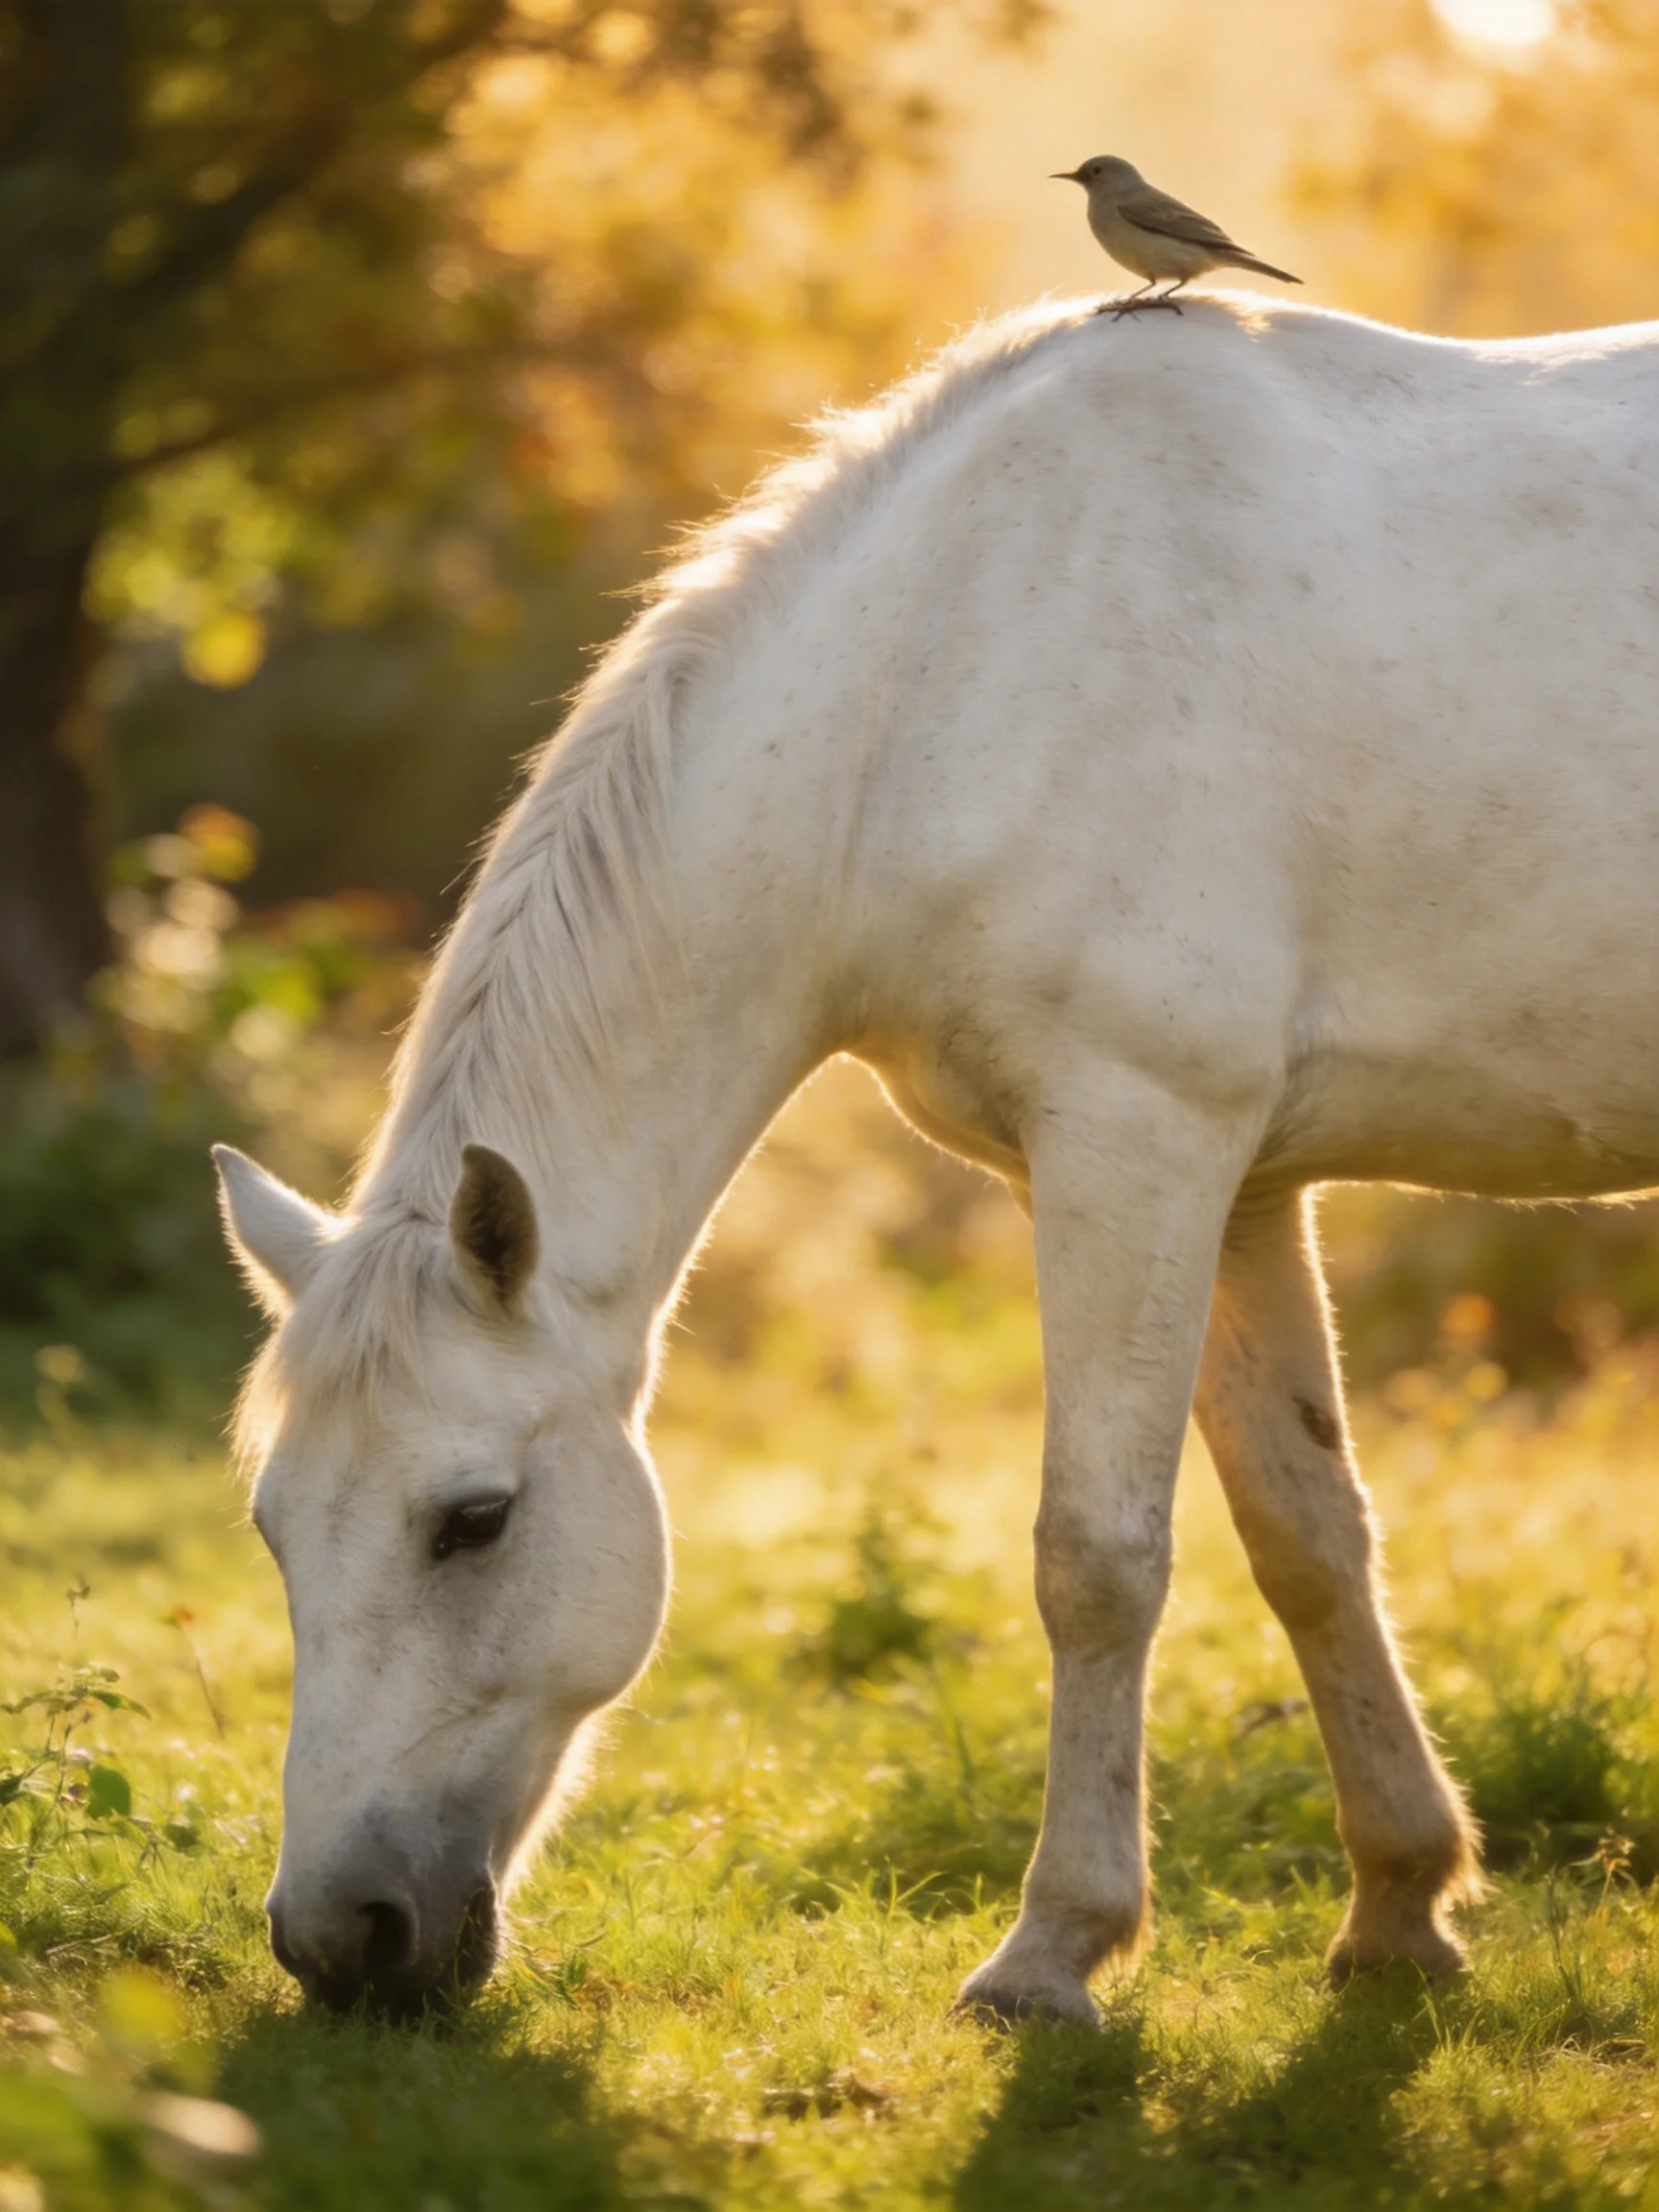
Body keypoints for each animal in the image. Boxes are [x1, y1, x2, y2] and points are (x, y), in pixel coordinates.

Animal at [216, 292, 1659, 2025]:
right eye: (274, 1525)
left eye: (474, 1518)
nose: (336, 1937)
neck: (930, 681)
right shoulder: (1237, 1186)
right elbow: (1306, 1537)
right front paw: (1399, 1903)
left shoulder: (1134, 1141)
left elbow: (1096, 1558)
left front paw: (1055, 1950)